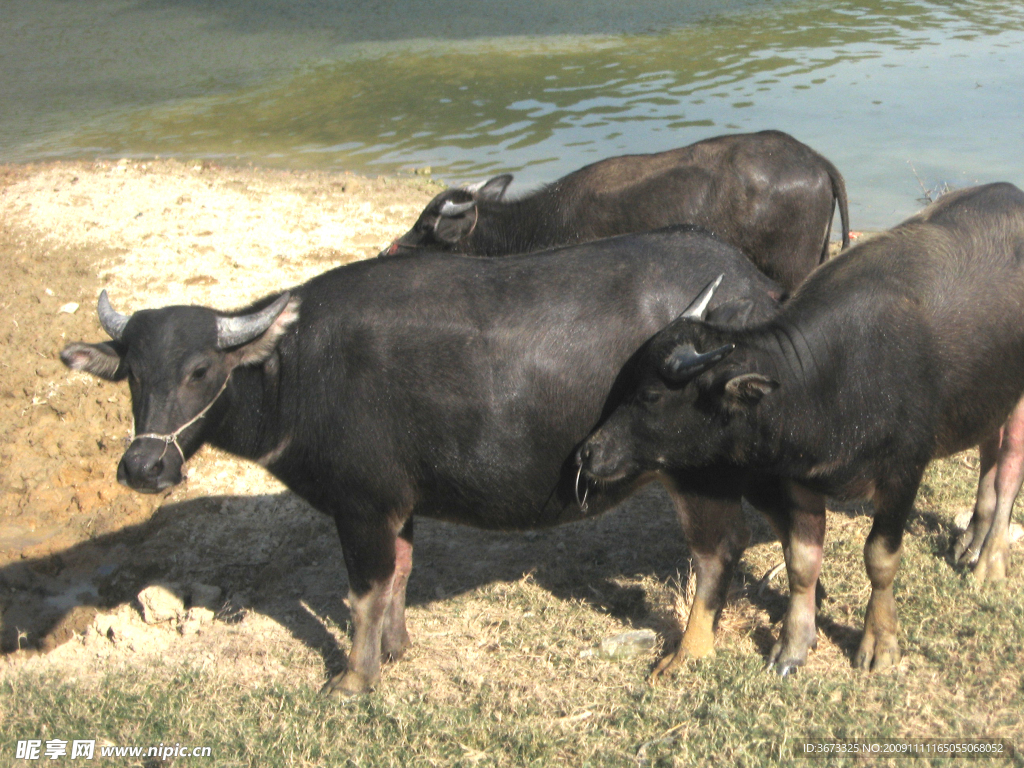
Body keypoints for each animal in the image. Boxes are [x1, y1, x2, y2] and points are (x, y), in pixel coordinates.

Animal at [59, 227, 778, 696]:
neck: (297, 373)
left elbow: (364, 591)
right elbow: (400, 573)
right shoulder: (396, 504)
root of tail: (756, 286)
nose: (144, 468)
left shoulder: (360, 506)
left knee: (720, 548)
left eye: (200, 370)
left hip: (698, 474)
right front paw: (395, 648)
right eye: (132, 373)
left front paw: (354, 678)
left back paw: (688, 654)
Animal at [581, 186, 1024, 679]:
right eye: (624, 383)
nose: (589, 452)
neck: (833, 381)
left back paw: (991, 561)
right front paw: (793, 644)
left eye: (651, 396)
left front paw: (880, 642)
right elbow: (801, 561)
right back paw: (973, 538)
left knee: (1009, 468)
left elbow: (880, 558)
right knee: (988, 450)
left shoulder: (903, 472)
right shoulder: (800, 477)